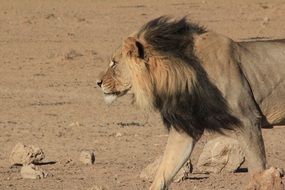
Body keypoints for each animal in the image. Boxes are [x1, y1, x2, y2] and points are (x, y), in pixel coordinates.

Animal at [96, 16, 284, 190]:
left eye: (114, 63)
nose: (97, 82)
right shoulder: (186, 128)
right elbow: (165, 168)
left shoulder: (248, 120)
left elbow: (258, 169)